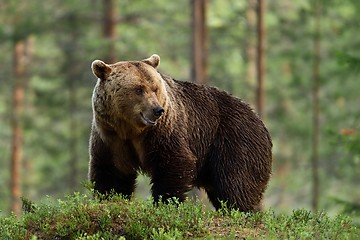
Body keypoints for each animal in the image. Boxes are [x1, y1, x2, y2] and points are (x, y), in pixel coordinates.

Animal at [88, 54, 272, 212]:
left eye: (155, 88)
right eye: (139, 89)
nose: (157, 110)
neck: (132, 130)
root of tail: (259, 120)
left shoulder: (164, 133)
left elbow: (174, 164)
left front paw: (165, 202)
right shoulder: (111, 138)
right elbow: (112, 171)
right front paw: (110, 198)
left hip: (234, 142)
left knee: (235, 184)